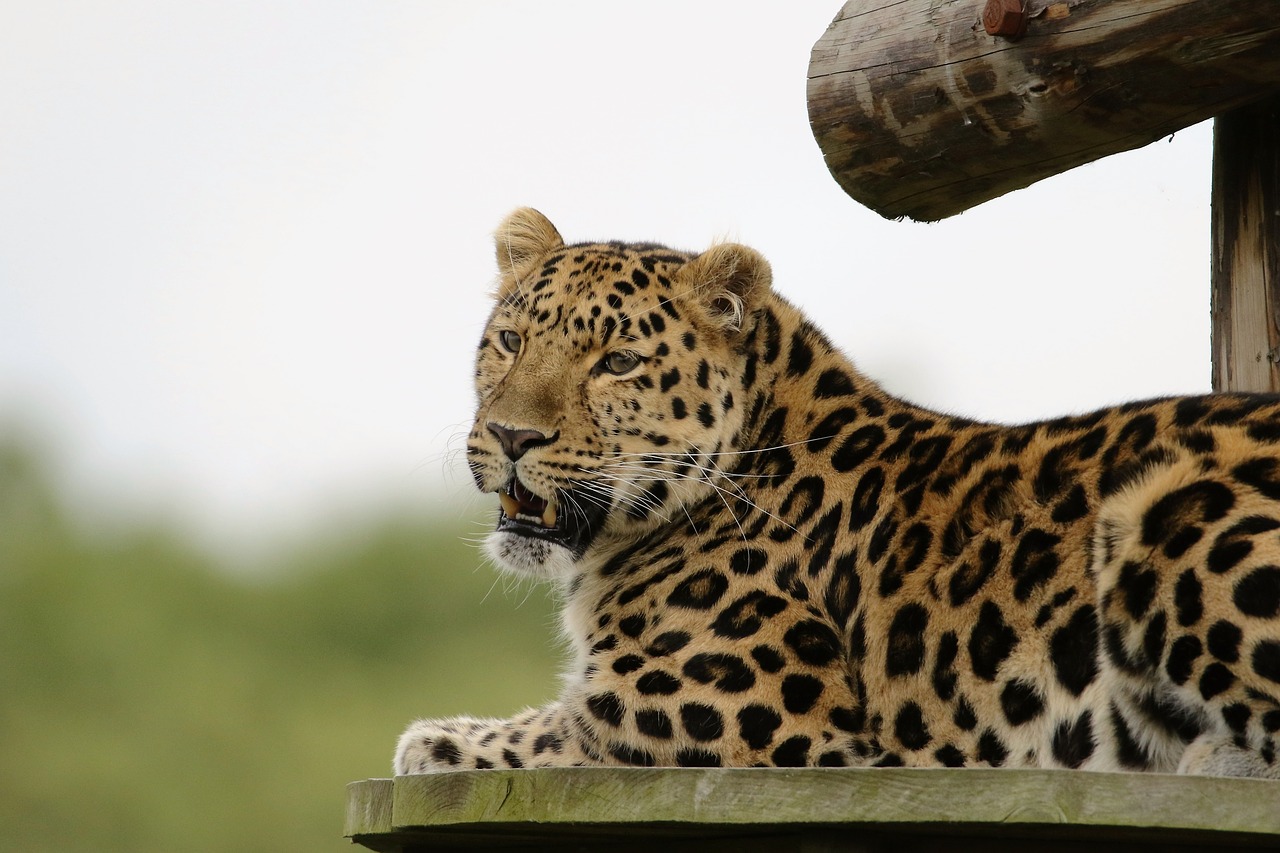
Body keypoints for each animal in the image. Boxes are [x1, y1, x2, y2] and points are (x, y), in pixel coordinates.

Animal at [394, 207, 1280, 778]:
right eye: (511, 341)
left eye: (617, 363)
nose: (512, 436)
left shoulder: (736, 710)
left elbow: (555, 731)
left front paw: (435, 741)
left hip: (1163, 507)